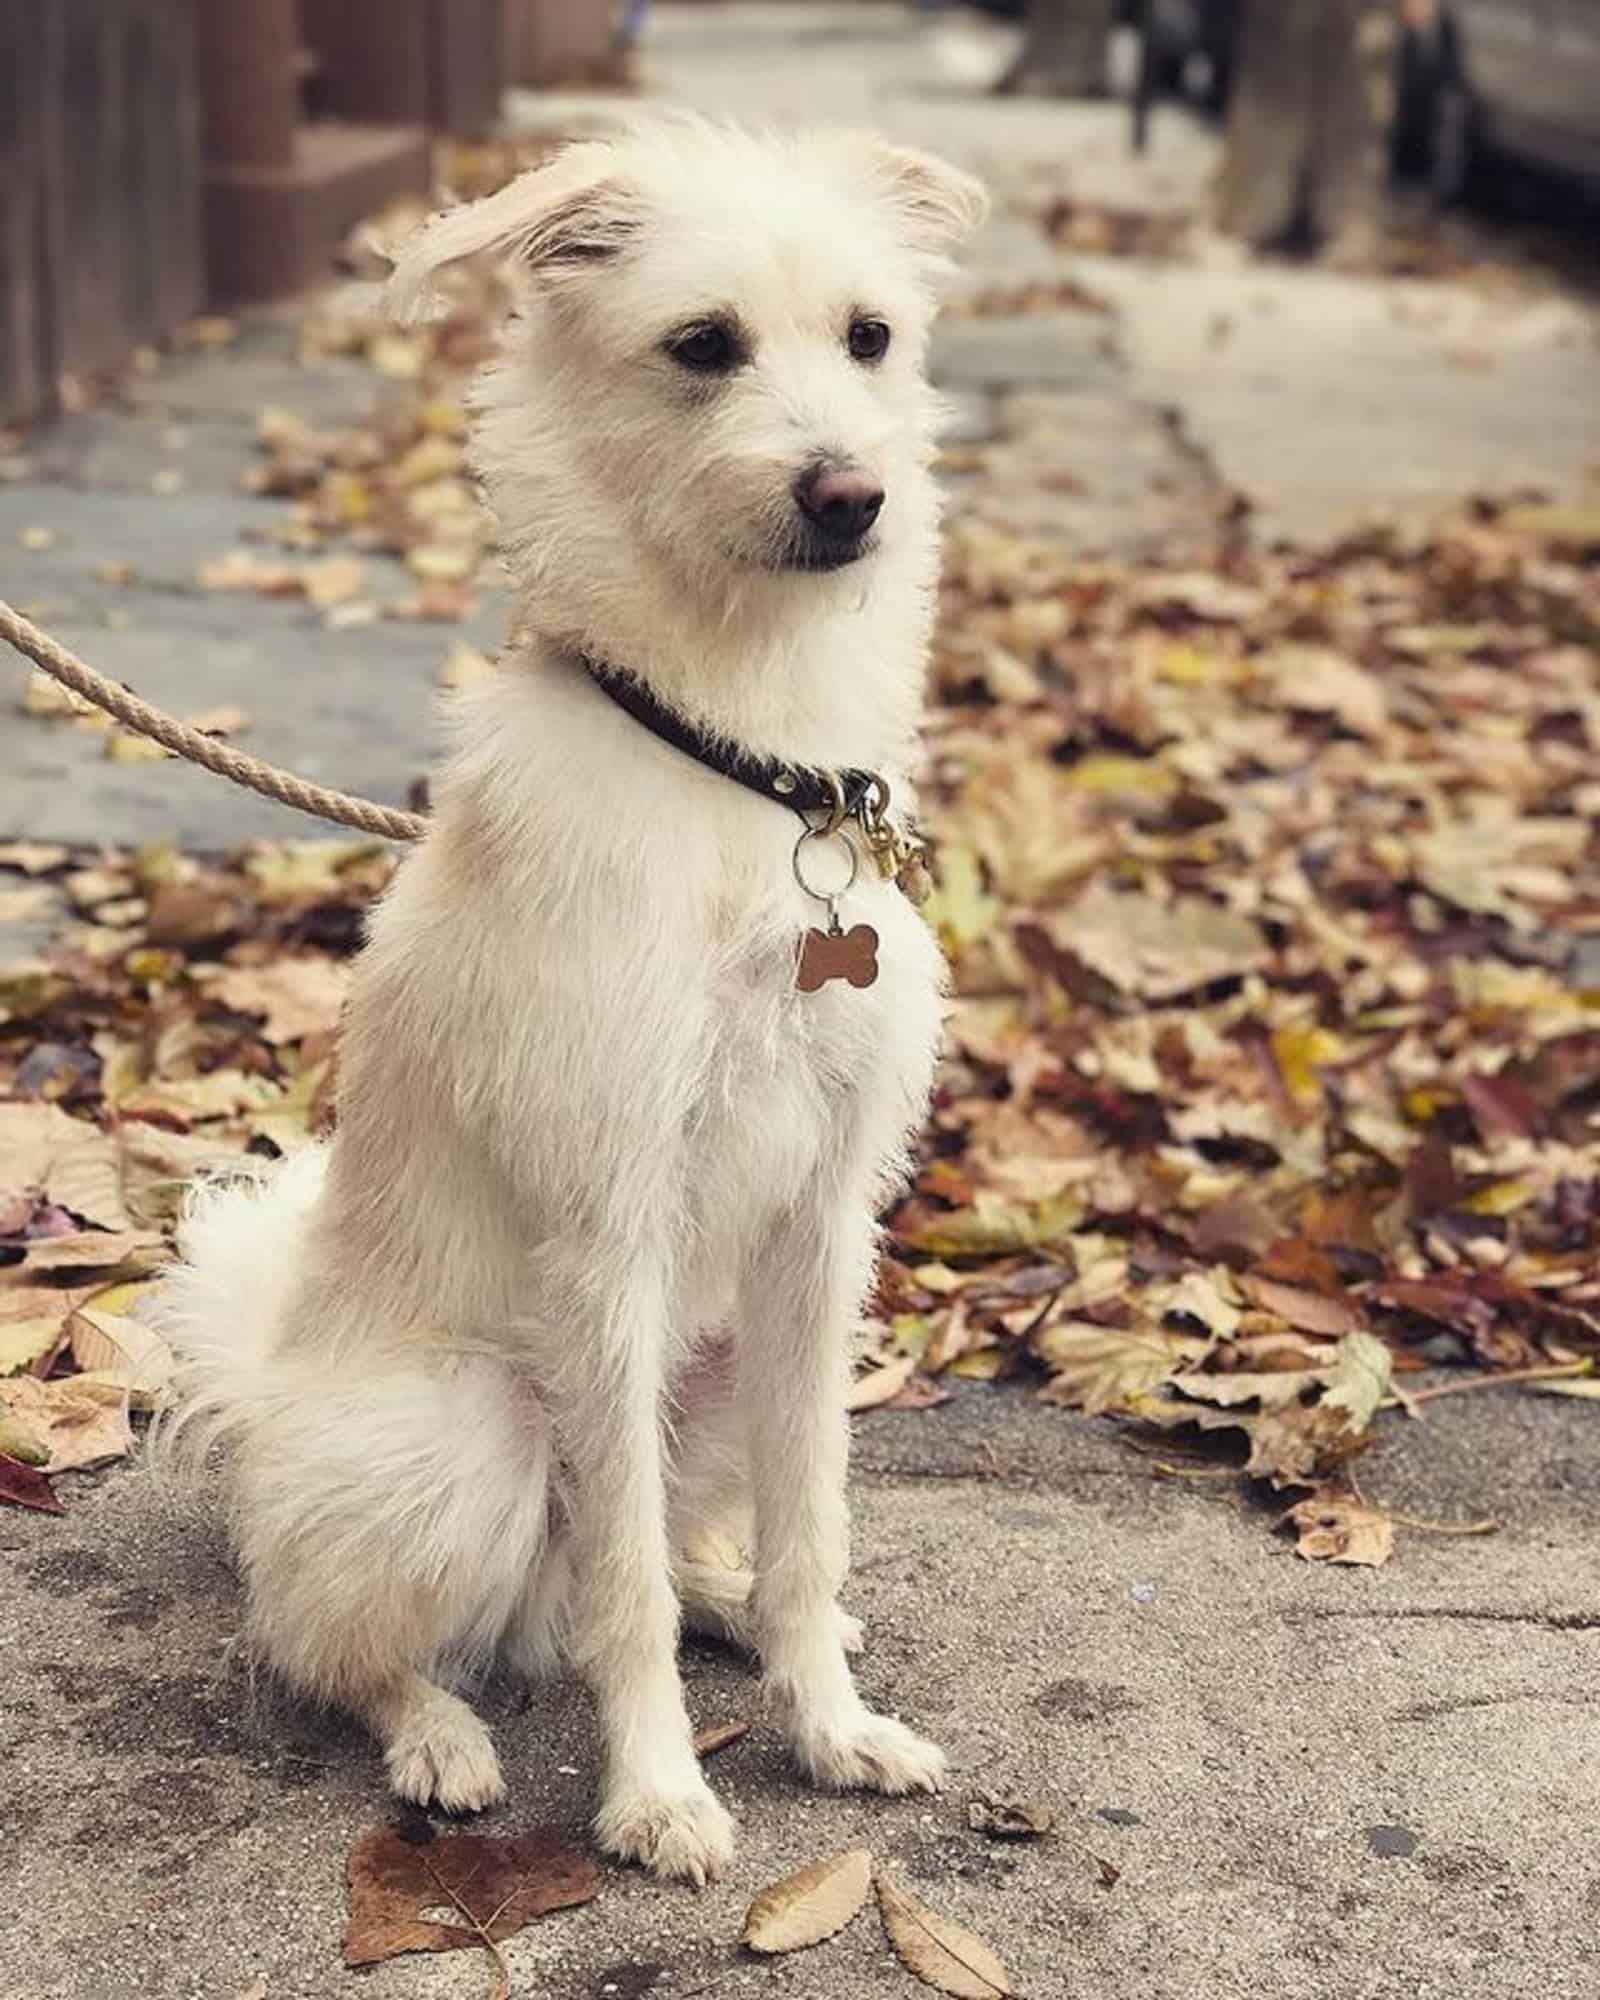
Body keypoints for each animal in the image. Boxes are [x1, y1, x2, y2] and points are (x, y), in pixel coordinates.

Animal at [162, 117, 988, 1880]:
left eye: (871, 336)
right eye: (703, 345)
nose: (853, 494)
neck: (744, 761)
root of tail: (263, 1402)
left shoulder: (821, 1238)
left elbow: (811, 1529)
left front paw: (827, 1726)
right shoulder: (611, 1237)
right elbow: (622, 1593)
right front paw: (659, 1794)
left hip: (728, 1372)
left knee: (683, 1555)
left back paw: (739, 1614)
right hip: (471, 1433)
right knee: (337, 1642)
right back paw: (442, 1739)